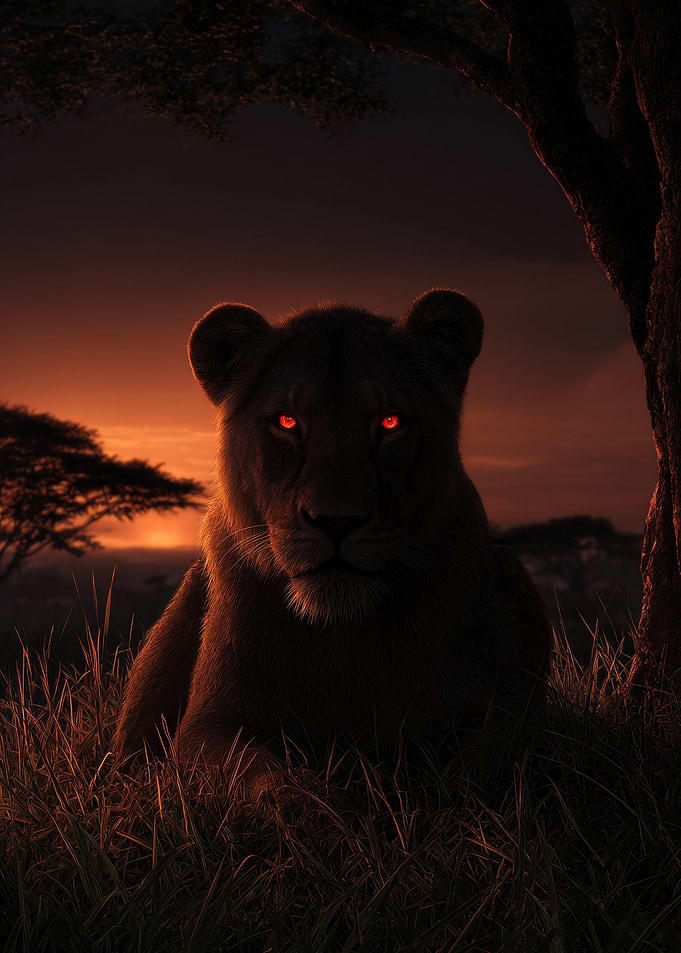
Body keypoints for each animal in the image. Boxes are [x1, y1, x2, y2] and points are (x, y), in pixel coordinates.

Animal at [114, 289, 552, 791]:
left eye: (390, 422)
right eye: (287, 422)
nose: (336, 521)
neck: (343, 632)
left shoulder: (505, 709)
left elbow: (477, 774)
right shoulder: (209, 723)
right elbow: (270, 781)